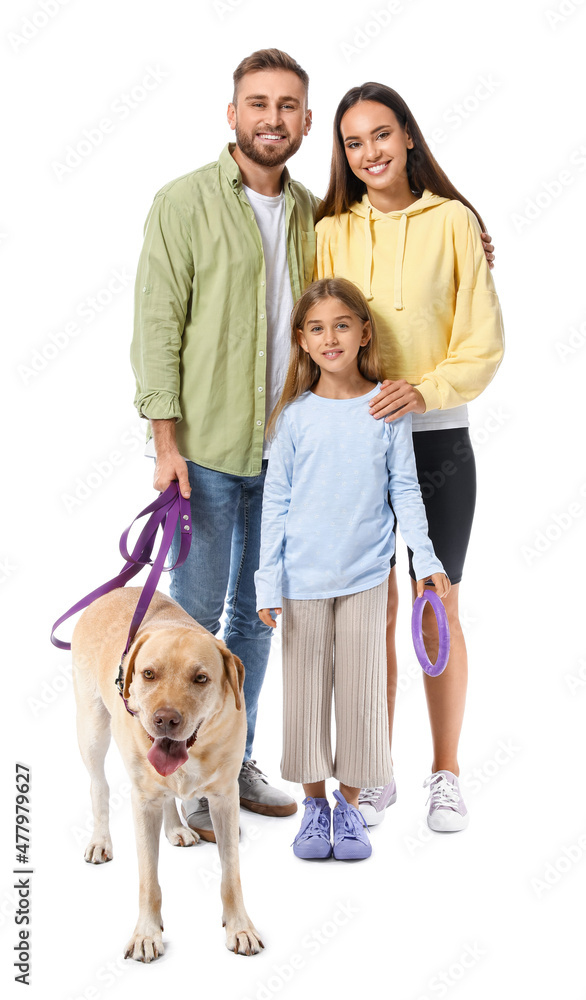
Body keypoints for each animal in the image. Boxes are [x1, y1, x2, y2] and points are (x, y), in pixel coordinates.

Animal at [72, 584, 262, 960]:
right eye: (149, 674)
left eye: (201, 678)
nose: (165, 720)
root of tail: (113, 591)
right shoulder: (143, 801)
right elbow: (148, 879)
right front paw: (146, 934)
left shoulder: (225, 798)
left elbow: (231, 873)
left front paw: (240, 927)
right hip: (91, 728)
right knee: (99, 785)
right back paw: (100, 840)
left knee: (169, 795)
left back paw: (175, 828)